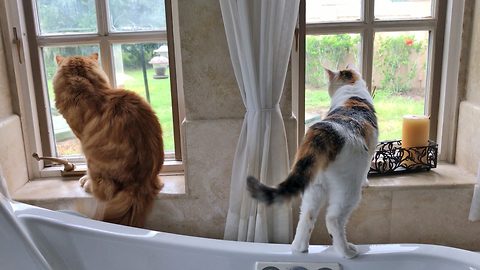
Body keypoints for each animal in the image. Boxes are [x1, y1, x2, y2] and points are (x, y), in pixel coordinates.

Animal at [52, 53, 164, 228]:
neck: (87, 88)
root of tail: (141, 183)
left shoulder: (81, 136)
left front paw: (85, 179)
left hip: (91, 155)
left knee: (104, 191)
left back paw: (88, 185)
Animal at [248, 64, 378, 258]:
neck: (351, 90)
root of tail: (323, 131)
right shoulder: (371, 151)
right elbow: (367, 169)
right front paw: (367, 182)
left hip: (313, 187)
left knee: (307, 217)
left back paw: (299, 248)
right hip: (348, 189)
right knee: (333, 219)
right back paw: (347, 251)